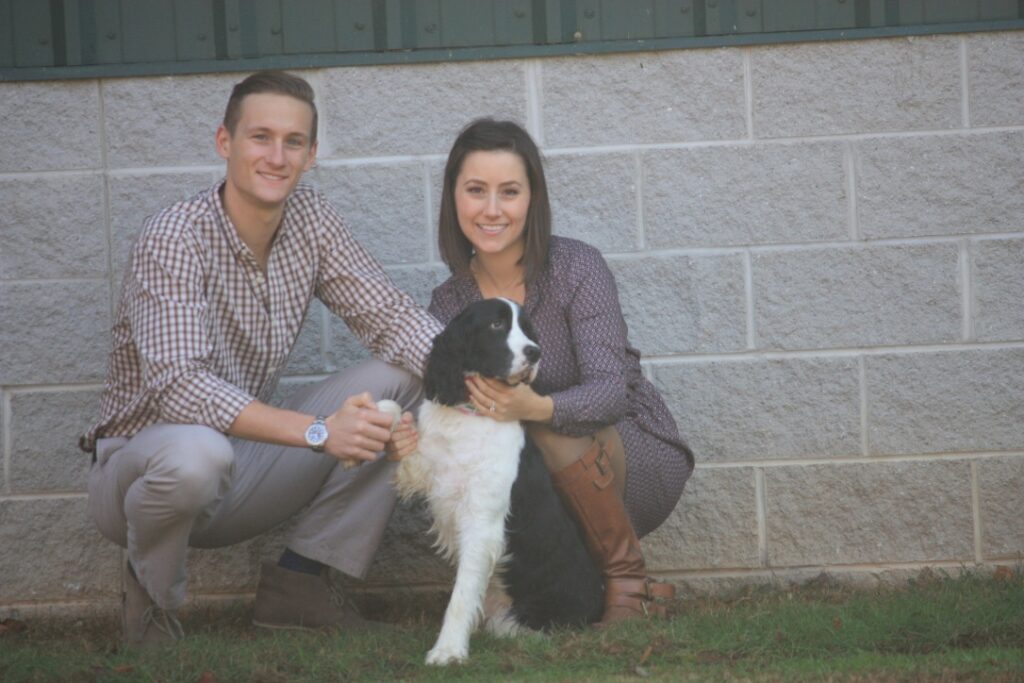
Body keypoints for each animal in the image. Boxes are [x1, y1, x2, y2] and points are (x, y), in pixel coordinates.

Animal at [389, 296, 598, 663]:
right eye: (496, 325)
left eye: (527, 328)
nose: (535, 352)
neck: (470, 416)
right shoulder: (427, 468)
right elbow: (398, 432)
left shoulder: (481, 523)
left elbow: (460, 596)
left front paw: (447, 651)